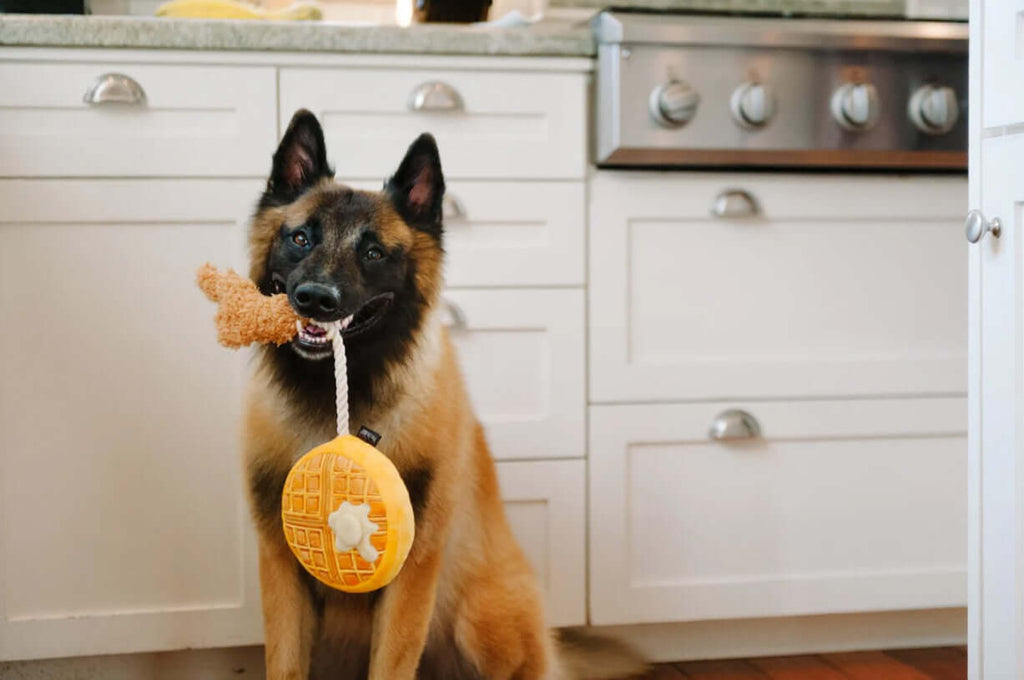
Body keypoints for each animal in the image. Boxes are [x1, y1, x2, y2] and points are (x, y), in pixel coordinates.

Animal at [238, 109, 643, 675]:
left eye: (373, 252)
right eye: (301, 239)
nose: (315, 299)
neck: (339, 396)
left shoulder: (413, 568)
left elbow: (391, 663)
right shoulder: (280, 566)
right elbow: (284, 663)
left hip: (479, 619)